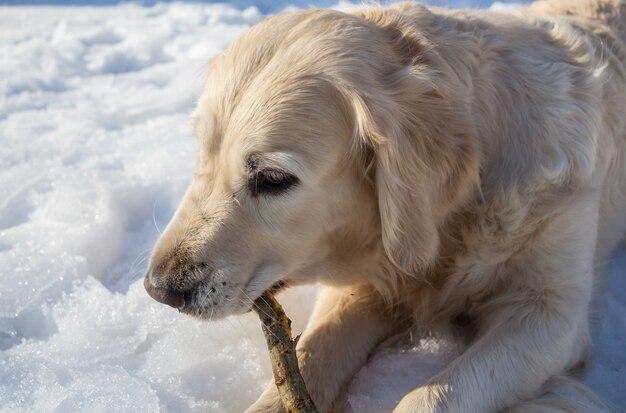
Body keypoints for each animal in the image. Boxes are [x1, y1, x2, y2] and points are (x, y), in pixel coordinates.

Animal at [143, 1, 624, 410]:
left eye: (273, 179)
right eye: (201, 153)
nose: (158, 289)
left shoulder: (548, 313)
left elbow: (431, 395)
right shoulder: (364, 286)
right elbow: (314, 353)